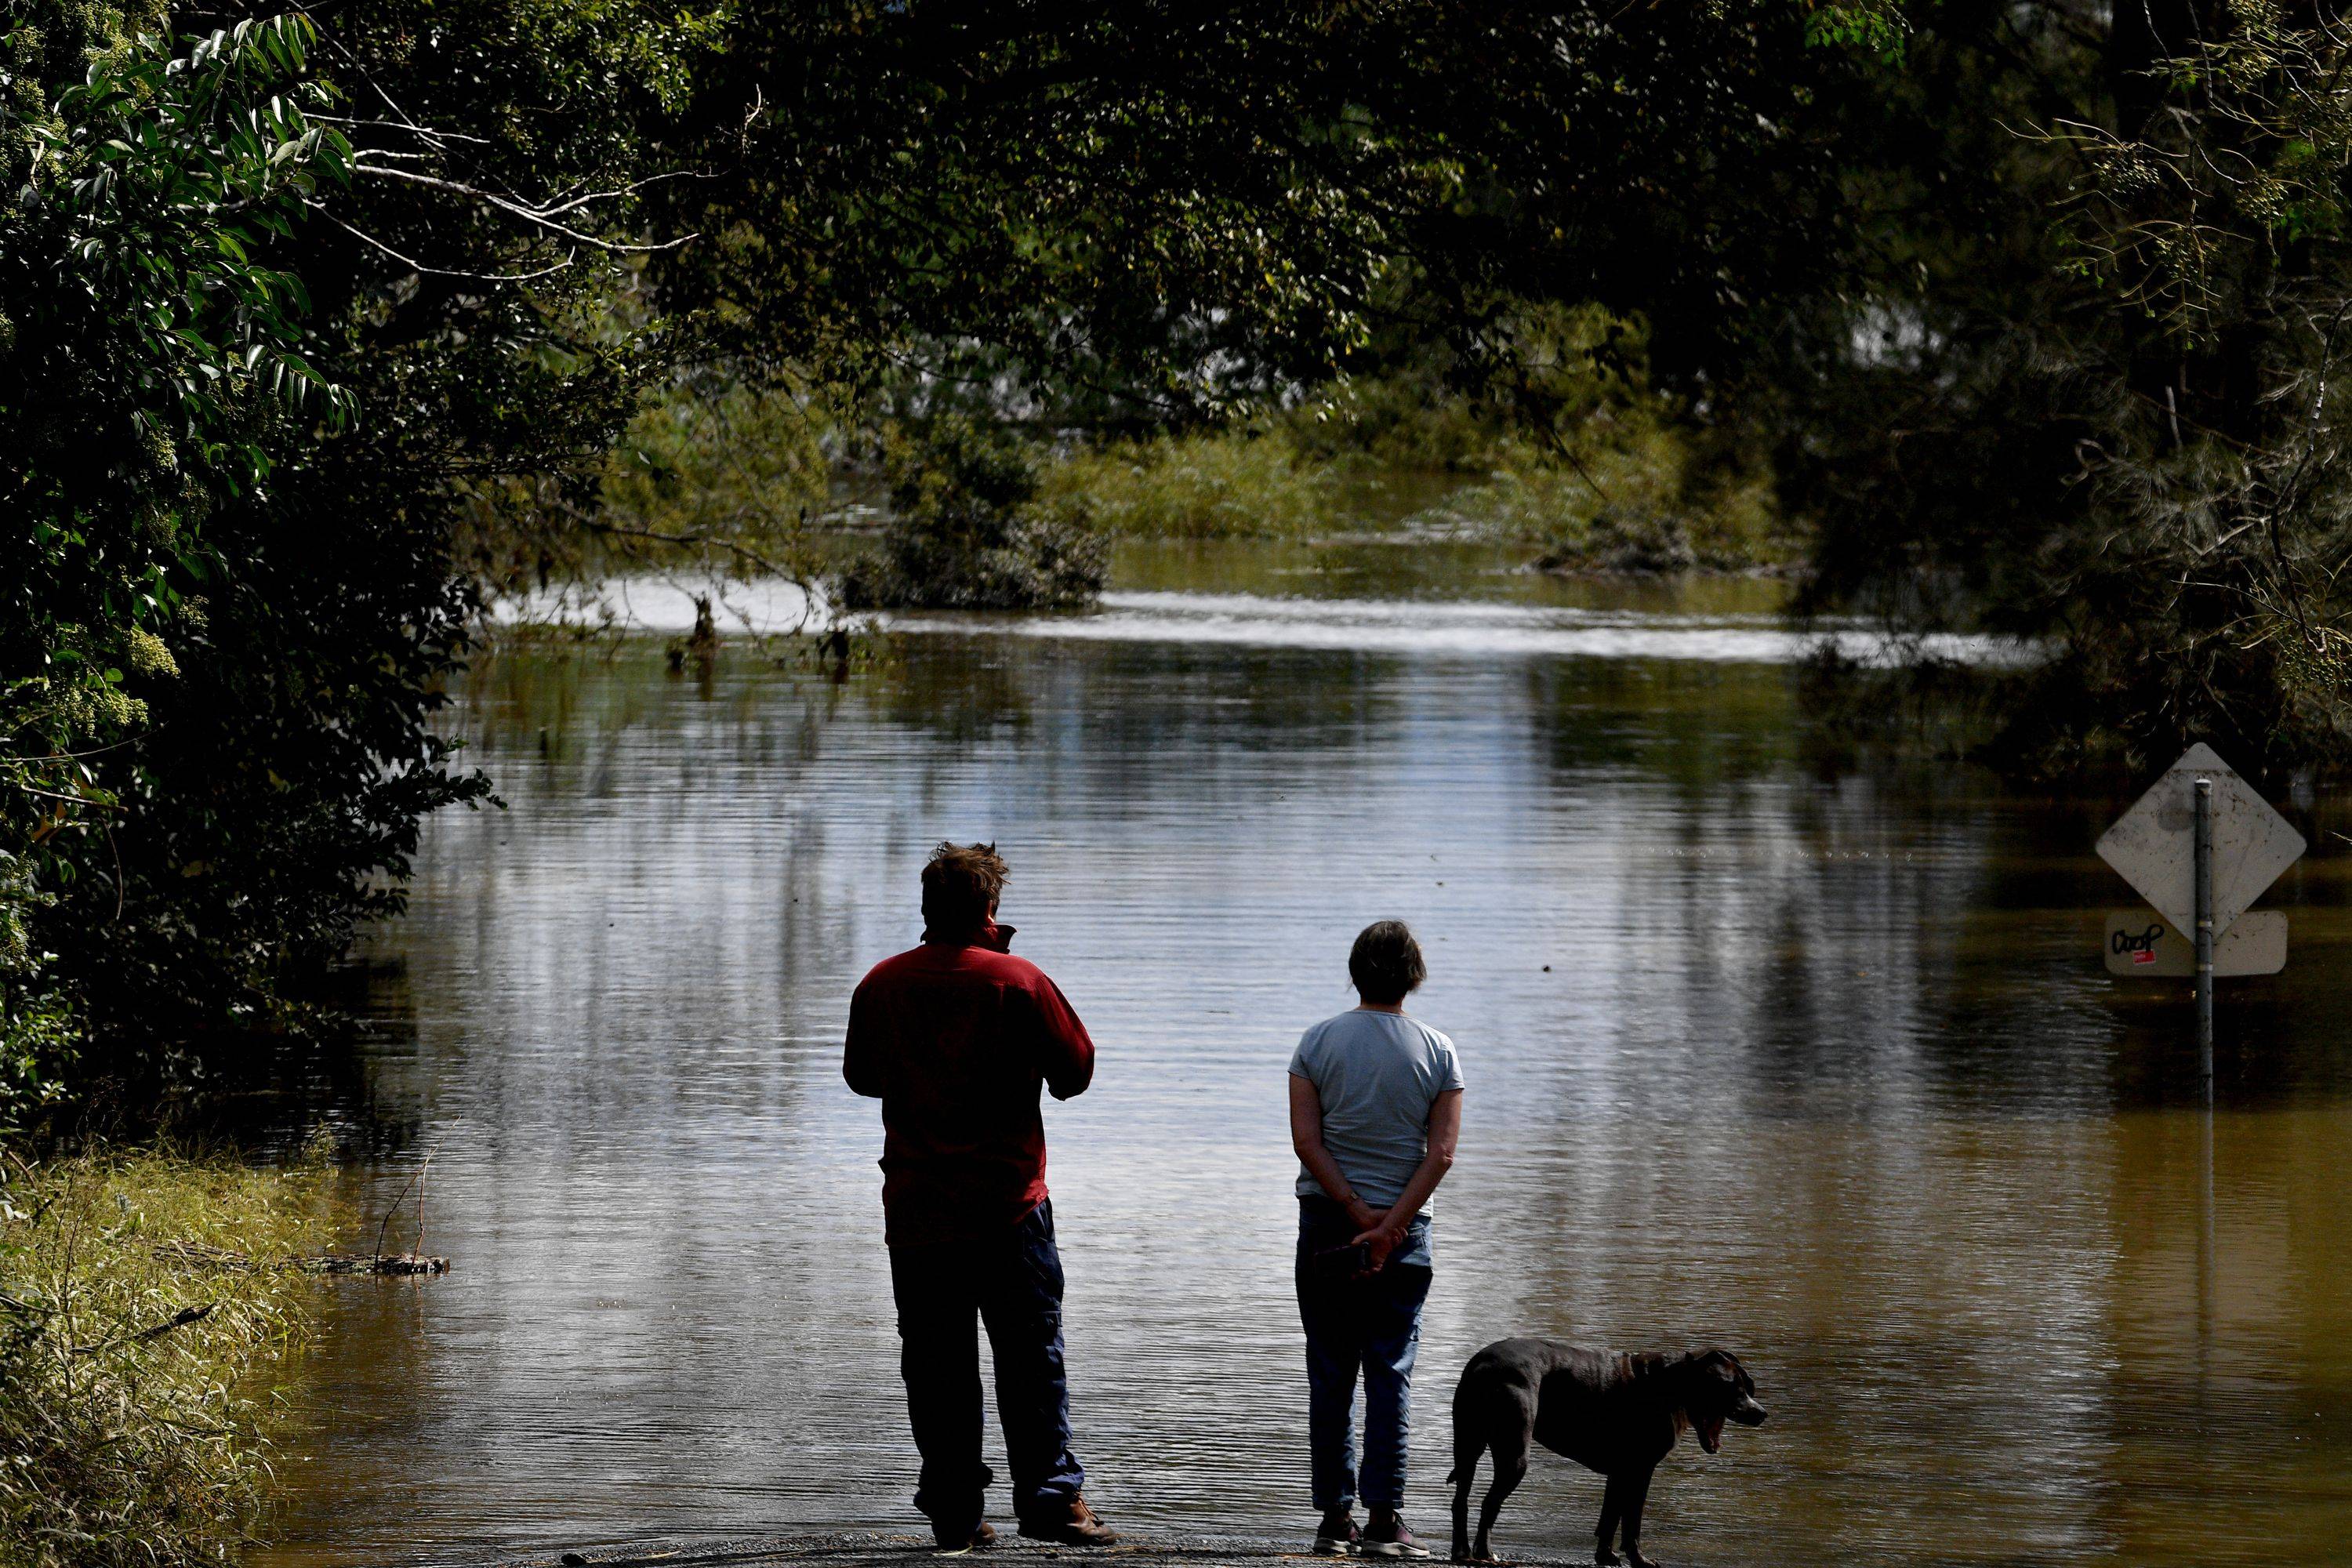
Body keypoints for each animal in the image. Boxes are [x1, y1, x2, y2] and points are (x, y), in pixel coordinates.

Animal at [1449, 1345, 1769, 1561]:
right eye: (1732, 1387)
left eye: (1746, 1386)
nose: (1761, 1413)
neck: (1673, 1385)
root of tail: (1481, 1362)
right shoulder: (1640, 1471)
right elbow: (1631, 1522)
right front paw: (1638, 1561)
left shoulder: (1619, 1473)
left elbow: (1610, 1518)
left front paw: (1606, 1557)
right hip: (1514, 1455)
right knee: (1490, 1503)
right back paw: (1485, 1553)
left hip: (1468, 1449)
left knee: (1460, 1502)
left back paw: (1462, 1551)